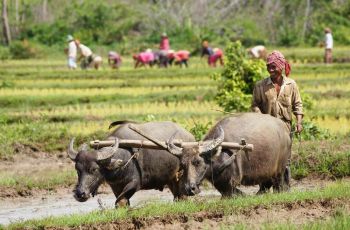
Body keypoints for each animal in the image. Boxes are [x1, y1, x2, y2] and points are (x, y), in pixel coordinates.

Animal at [67, 120, 223, 207]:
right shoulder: (115, 186)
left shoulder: (134, 183)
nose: (80, 193)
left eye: (94, 169)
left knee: (182, 194)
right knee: (177, 195)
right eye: (77, 169)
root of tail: (189, 136)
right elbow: (121, 203)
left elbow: (120, 202)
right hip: (171, 177)